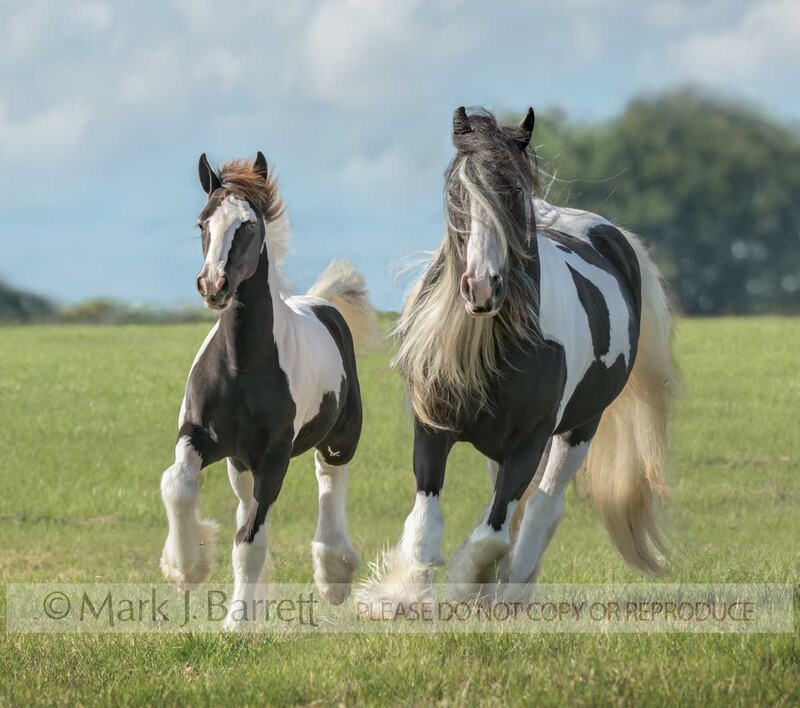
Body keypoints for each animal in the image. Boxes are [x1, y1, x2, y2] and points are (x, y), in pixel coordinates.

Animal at [159, 151, 379, 629]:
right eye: (202, 222)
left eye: (249, 225)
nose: (213, 285)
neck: (242, 366)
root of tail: (320, 303)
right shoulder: (198, 435)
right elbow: (179, 485)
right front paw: (186, 567)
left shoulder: (275, 455)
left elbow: (249, 540)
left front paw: (236, 622)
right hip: (239, 463)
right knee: (244, 504)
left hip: (339, 438)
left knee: (330, 482)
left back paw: (334, 575)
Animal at [358, 107, 677, 608]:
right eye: (456, 190)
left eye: (515, 192)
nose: (481, 287)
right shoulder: (433, 427)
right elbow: (427, 518)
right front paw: (402, 594)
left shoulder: (530, 441)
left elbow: (494, 529)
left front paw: (468, 584)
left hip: (581, 428)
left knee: (543, 505)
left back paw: (513, 590)